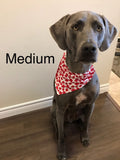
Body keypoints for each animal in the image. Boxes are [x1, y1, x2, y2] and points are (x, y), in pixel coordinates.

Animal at [49, 10, 116, 159]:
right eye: (75, 27)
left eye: (99, 28)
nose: (89, 48)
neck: (79, 72)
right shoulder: (61, 109)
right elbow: (62, 136)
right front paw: (61, 151)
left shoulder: (91, 104)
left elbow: (86, 125)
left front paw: (84, 137)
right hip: (54, 109)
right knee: (57, 126)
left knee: (83, 122)